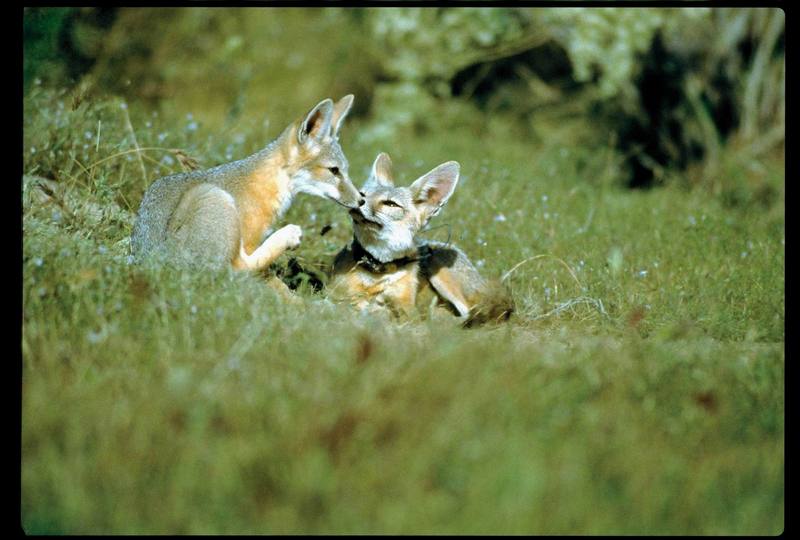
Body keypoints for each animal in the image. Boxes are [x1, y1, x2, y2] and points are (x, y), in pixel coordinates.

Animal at [130, 95, 362, 270]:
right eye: (334, 171)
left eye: (346, 170)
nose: (361, 201)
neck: (267, 183)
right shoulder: (249, 241)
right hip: (213, 197)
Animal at [328, 154, 516, 326]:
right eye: (363, 194)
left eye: (391, 204)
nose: (358, 201)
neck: (378, 271)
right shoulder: (335, 295)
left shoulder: (408, 310)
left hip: (439, 268)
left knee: (468, 314)